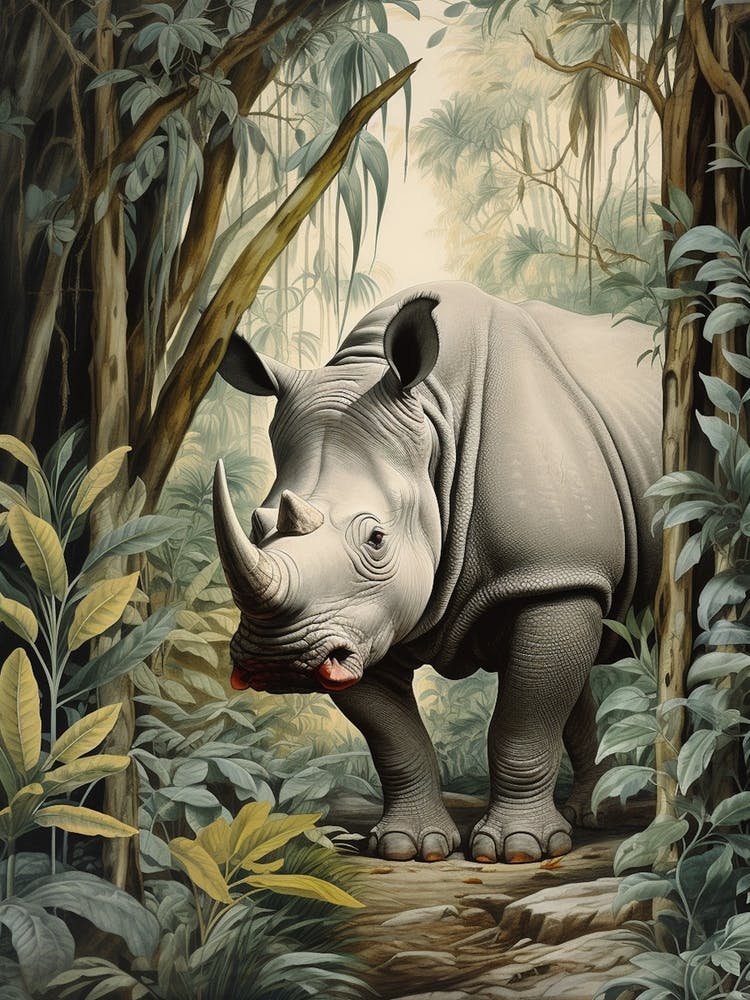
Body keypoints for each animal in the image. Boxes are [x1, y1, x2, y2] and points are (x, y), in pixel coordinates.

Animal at [213, 281, 662, 864]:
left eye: (376, 540)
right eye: (257, 524)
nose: (278, 660)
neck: (433, 421)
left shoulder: (551, 574)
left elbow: (524, 719)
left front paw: (516, 852)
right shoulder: (354, 621)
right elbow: (394, 738)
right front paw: (410, 848)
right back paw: (591, 816)